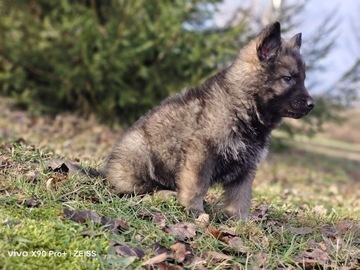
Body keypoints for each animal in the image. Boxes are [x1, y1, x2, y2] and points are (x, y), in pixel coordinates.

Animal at [105, 21, 316, 219]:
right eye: (288, 78)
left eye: (303, 79)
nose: (311, 104)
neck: (242, 105)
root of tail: (105, 173)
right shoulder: (202, 154)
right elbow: (197, 185)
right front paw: (194, 210)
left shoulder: (246, 165)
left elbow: (241, 196)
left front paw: (240, 221)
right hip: (138, 152)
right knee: (135, 191)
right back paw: (164, 194)